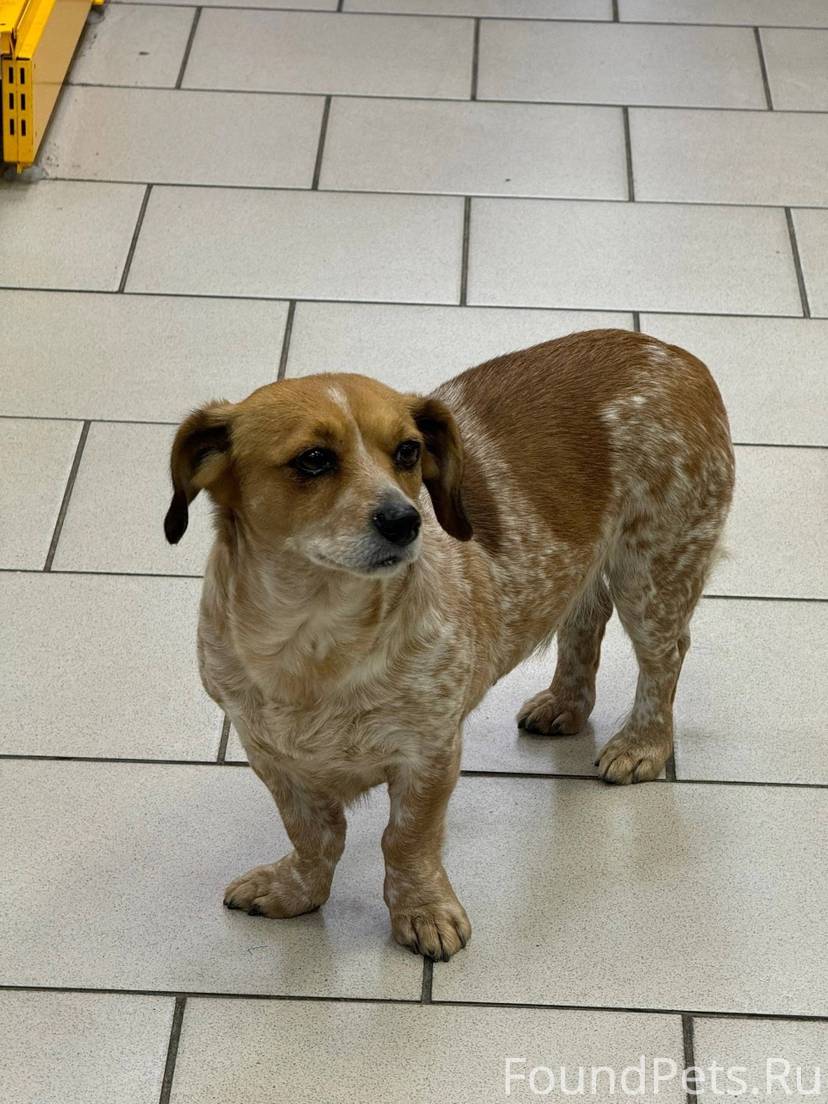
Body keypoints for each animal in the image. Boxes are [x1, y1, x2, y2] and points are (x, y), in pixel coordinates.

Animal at [165, 328, 734, 961]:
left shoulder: (430, 751)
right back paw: (565, 704)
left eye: (408, 451)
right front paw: (297, 890)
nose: (404, 520)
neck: (317, 640)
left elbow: (406, 840)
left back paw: (642, 745)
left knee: (664, 658)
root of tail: (670, 351)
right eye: (313, 459)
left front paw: (424, 913)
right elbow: (313, 834)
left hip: (654, 572)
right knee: (584, 619)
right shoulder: (270, 754)